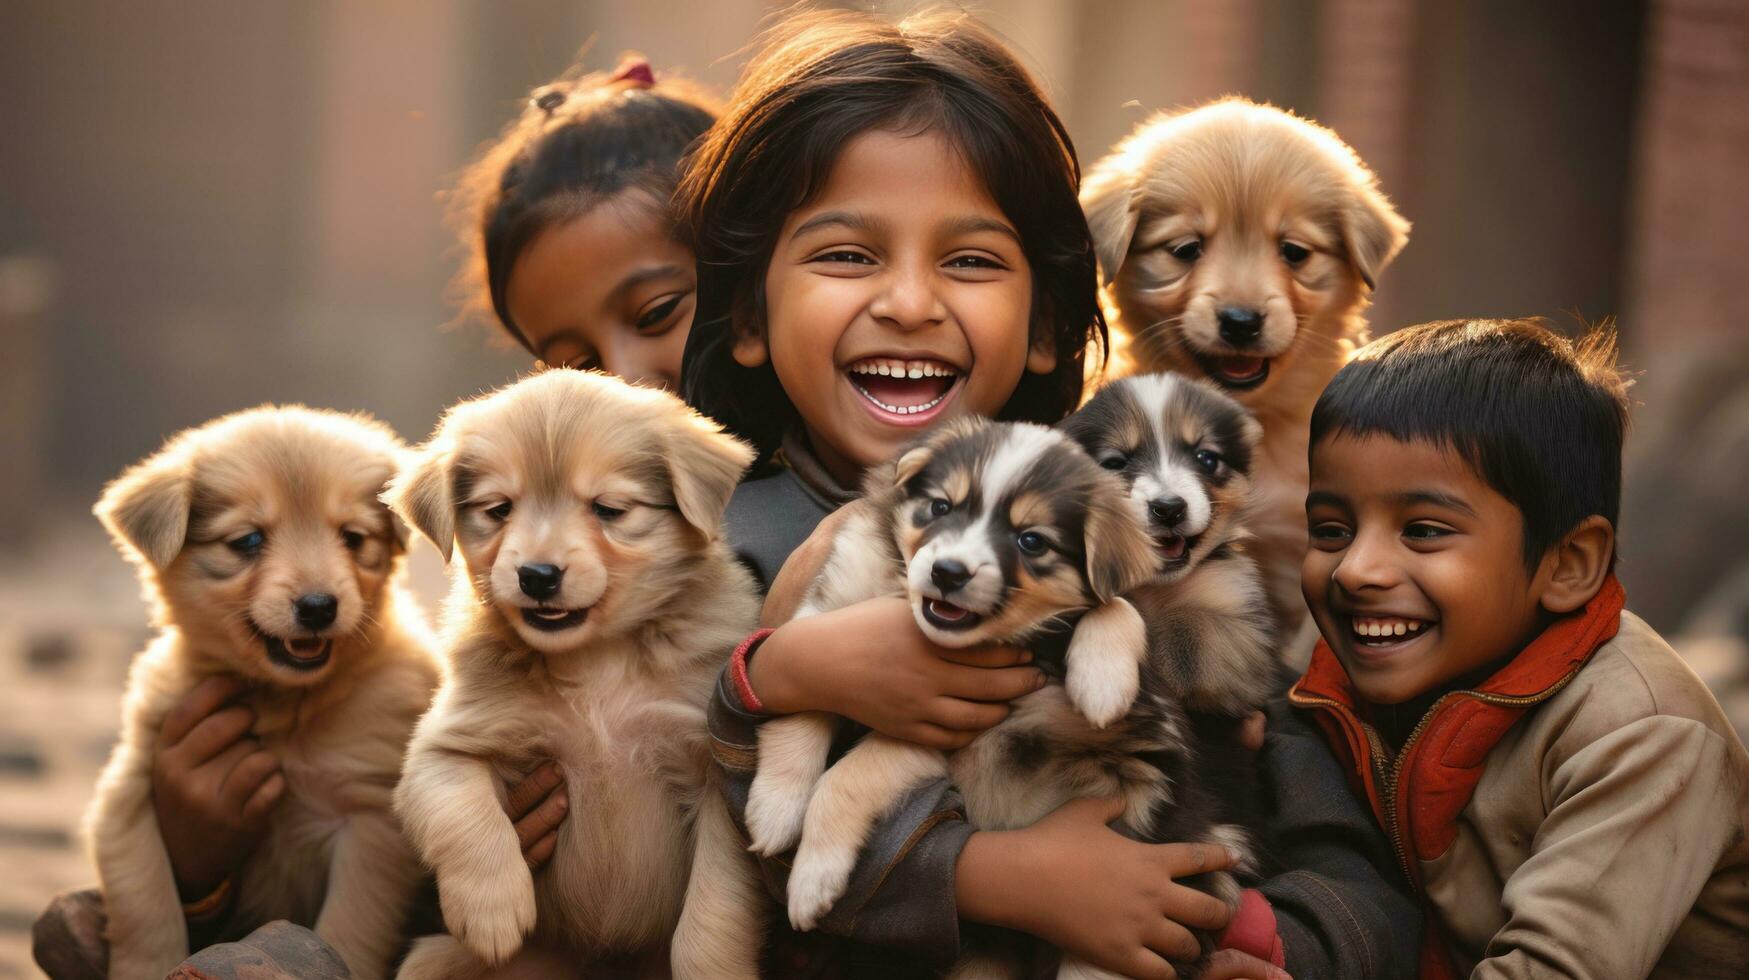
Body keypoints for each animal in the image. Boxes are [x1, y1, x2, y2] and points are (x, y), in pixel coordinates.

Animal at [82, 406, 440, 980]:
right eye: (247, 542)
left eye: (353, 538)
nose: (318, 607)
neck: (284, 702)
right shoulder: (131, 784)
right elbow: (144, 902)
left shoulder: (370, 820)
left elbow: (348, 928)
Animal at [393, 367, 769, 980]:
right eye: (498, 509)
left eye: (609, 508)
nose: (537, 575)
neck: (596, 663)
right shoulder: (445, 746)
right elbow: (462, 814)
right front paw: (492, 909)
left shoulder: (716, 781)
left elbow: (713, 911)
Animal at [738, 416, 1161, 938]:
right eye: (941, 507)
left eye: (1031, 541)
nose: (948, 572)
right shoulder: (823, 614)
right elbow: (802, 705)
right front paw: (775, 808)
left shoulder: (945, 730)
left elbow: (842, 780)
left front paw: (813, 878)